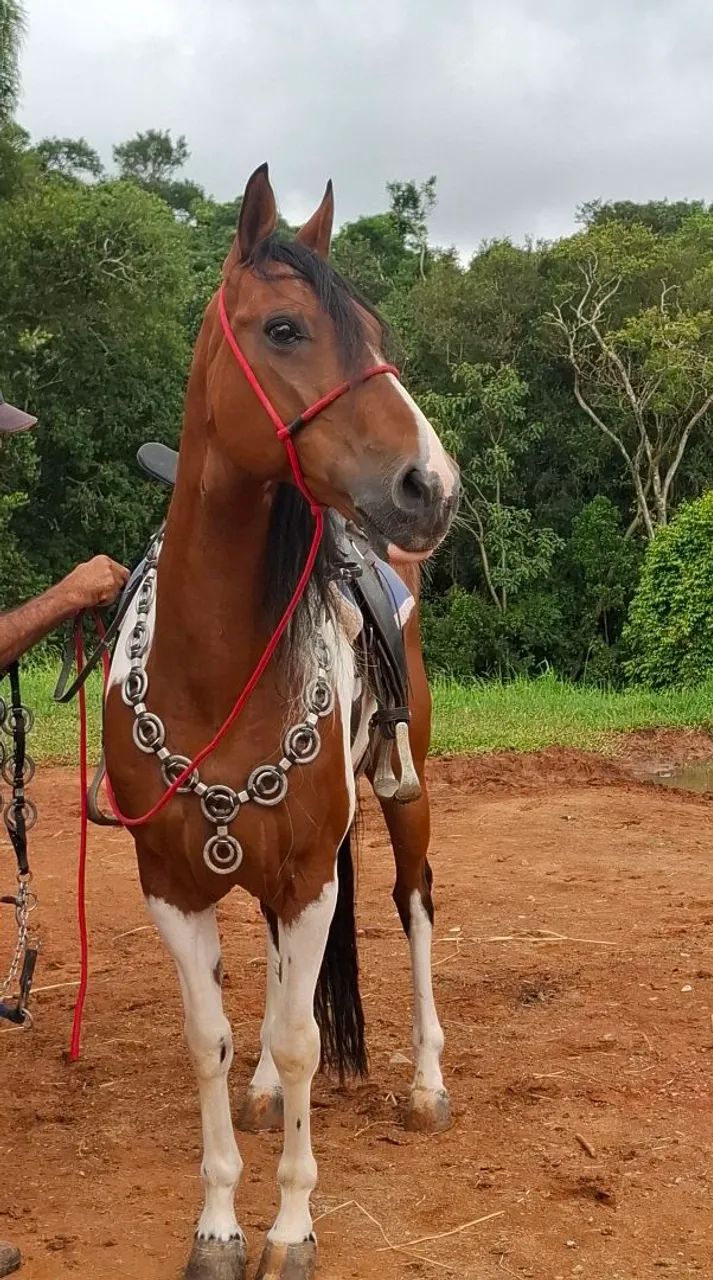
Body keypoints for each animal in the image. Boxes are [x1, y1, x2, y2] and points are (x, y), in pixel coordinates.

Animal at [104, 163, 459, 1280]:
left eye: (374, 328)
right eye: (286, 328)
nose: (431, 485)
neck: (215, 666)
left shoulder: (310, 873)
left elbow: (308, 1037)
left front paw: (292, 1226)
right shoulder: (172, 883)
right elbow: (207, 1038)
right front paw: (219, 1222)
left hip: (402, 795)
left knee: (414, 906)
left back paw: (427, 1083)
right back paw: (263, 1087)